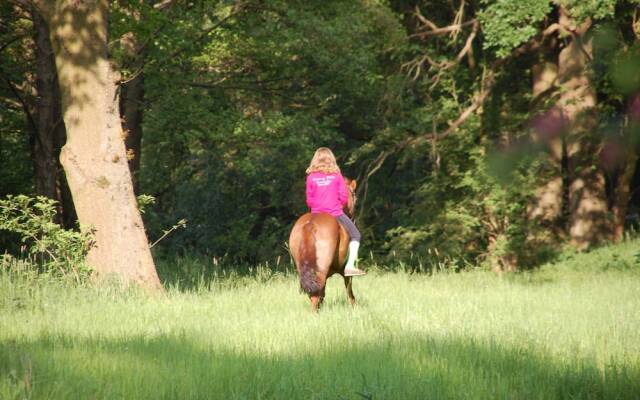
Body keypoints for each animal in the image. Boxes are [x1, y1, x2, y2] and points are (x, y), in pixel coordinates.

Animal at [288, 178, 358, 312]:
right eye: (354, 196)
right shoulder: (345, 271)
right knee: (316, 294)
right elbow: (350, 292)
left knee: (314, 293)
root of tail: (311, 223)